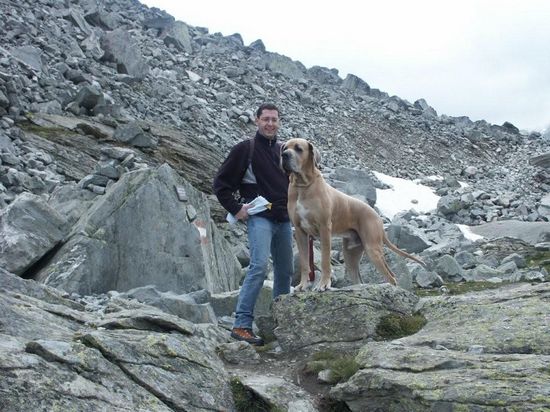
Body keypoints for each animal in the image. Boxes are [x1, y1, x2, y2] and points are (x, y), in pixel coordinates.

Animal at [281, 138, 425, 291]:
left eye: (299, 149)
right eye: (284, 148)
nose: (284, 155)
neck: (302, 186)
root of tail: (377, 218)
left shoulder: (324, 228)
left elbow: (325, 261)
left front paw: (323, 284)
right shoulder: (300, 232)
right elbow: (304, 263)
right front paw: (302, 285)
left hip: (372, 249)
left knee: (391, 277)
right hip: (351, 255)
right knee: (359, 279)